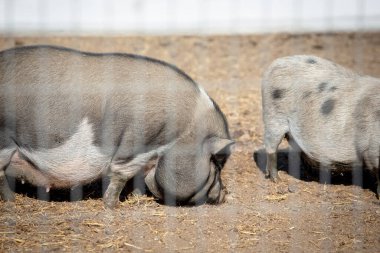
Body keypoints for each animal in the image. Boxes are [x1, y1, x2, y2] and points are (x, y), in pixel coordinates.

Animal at [0, 45, 235, 208]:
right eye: (216, 163)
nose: (224, 195)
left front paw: (137, 197)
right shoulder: (135, 146)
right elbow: (121, 175)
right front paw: (113, 206)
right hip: (4, 142)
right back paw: (10, 202)